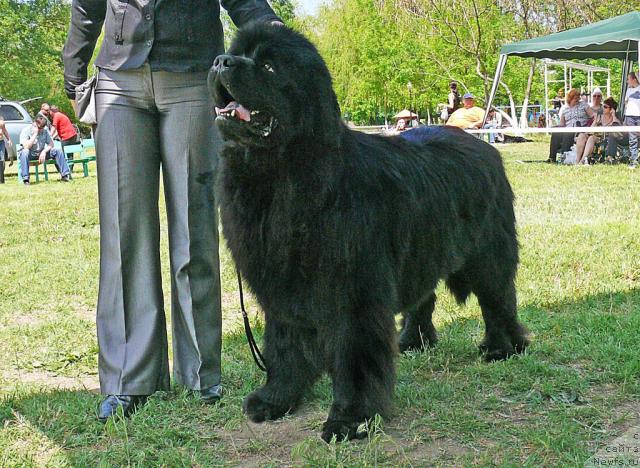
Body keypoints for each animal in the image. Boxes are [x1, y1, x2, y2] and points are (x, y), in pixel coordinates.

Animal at [208, 24, 528, 442]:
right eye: (236, 52)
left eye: (268, 66)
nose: (220, 61)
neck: (283, 174)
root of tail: (484, 147)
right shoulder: (281, 285)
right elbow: (284, 346)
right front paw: (276, 398)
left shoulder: (353, 290)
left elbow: (354, 355)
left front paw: (350, 418)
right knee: (423, 297)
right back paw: (412, 341)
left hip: (486, 253)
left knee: (497, 298)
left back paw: (503, 347)